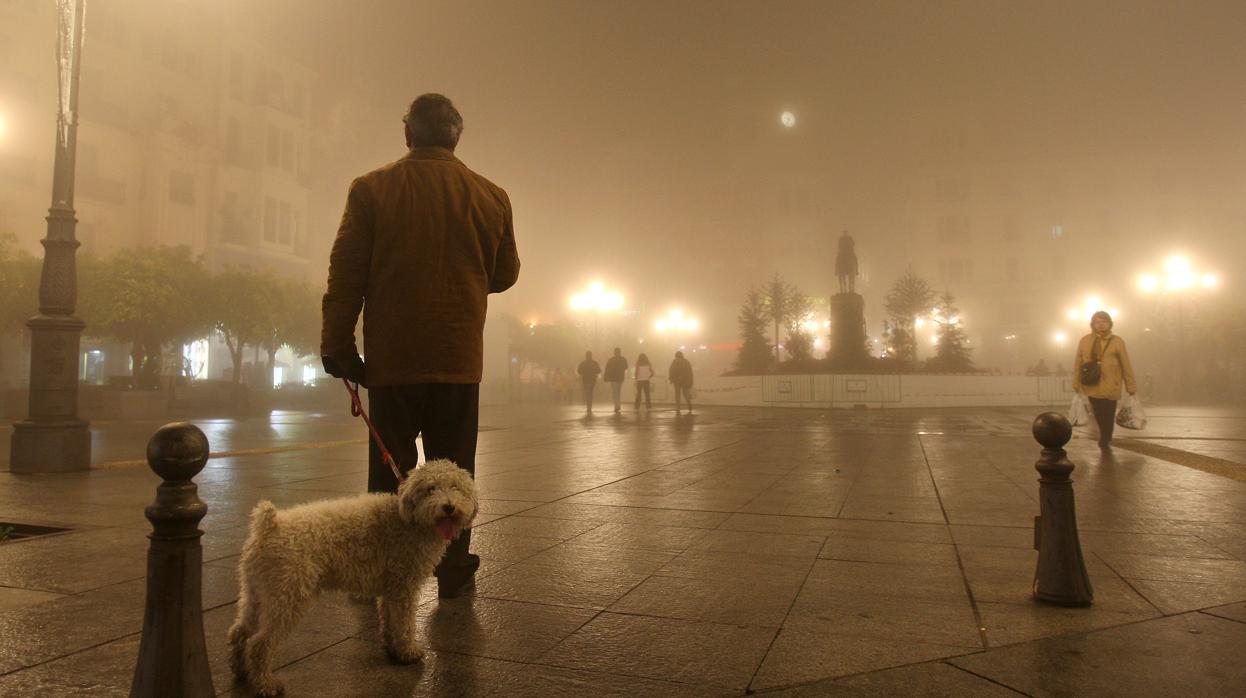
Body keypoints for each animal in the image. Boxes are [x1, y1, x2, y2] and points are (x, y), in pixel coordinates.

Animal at [229, 461, 475, 693]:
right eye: (430, 489)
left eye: (455, 487)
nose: (449, 507)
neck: (409, 520)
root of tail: (269, 526)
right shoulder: (404, 588)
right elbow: (404, 623)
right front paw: (408, 652)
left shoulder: (390, 590)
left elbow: (389, 621)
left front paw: (392, 647)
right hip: (288, 596)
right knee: (259, 643)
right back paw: (266, 684)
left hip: (257, 592)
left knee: (239, 632)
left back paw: (241, 671)